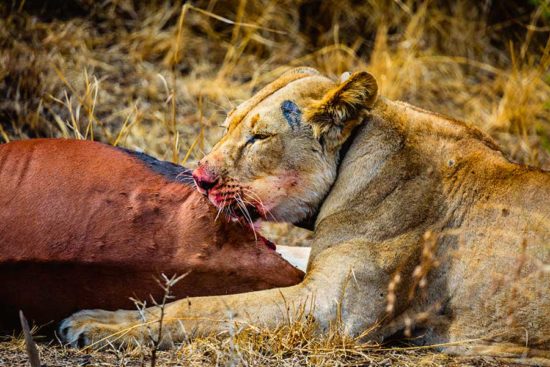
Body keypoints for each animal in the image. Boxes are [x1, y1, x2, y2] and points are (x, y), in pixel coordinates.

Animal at [60, 68, 550, 362]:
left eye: (259, 137)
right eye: (227, 125)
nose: (199, 178)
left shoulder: (332, 311)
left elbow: (207, 306)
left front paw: (95, 323)